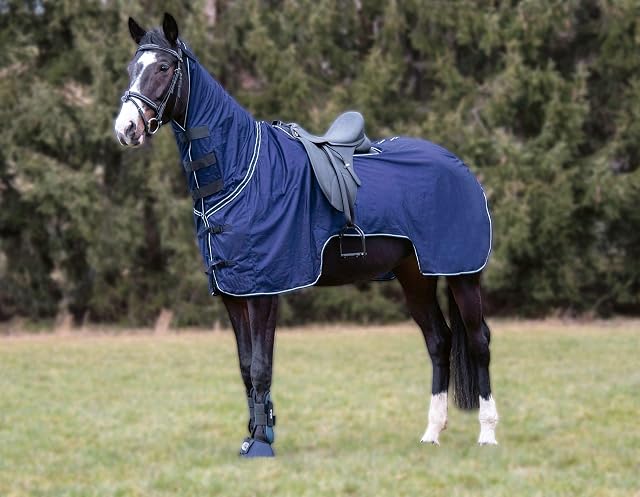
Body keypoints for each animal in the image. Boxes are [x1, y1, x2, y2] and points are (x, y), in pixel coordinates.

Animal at [114, 13, 498, 457]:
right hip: (415, 277)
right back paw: (431, 432)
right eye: (132, 67)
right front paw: (254, 434)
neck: (239, 168)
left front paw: (261, 443)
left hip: (462, 275)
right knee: (439, 342)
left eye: (163, 67)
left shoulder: (264, 290)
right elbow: (245, 367)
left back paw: (487, 434)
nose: (125, 129)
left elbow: (261, 366)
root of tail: (461, 168)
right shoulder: (233, 292)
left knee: (478, 341)